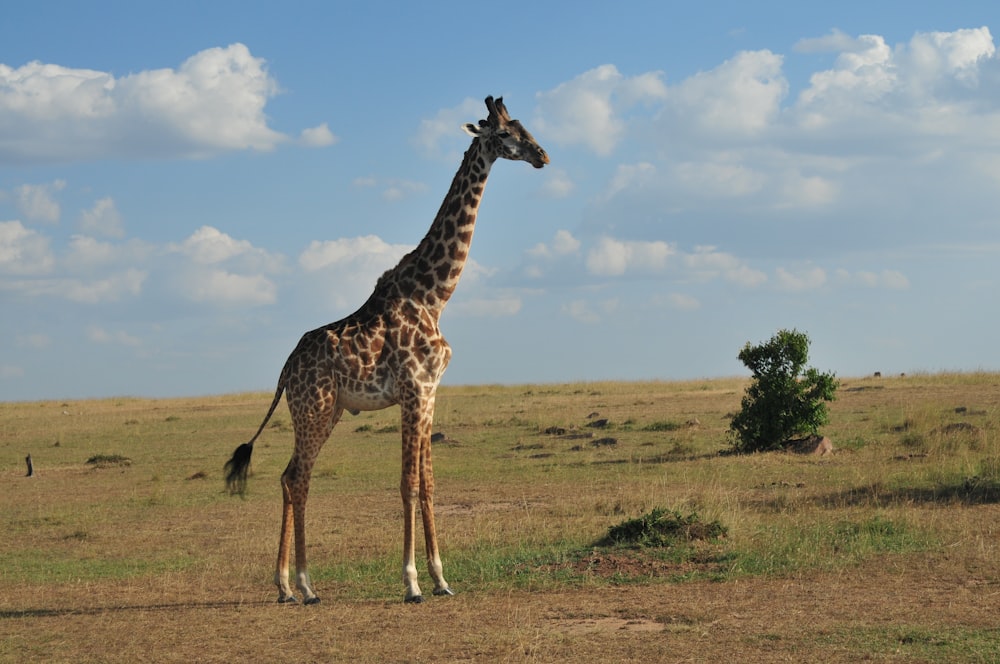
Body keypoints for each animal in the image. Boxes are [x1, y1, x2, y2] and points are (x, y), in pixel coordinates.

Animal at [227, 96, 552, 604]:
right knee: (298, 478)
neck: (434, 295)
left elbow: (430, 484)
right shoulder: (414, 390)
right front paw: (412, 582)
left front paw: (441, 579)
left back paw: (285, 586)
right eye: (504, 134)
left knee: (286, 475)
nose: (543, 155)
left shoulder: (431, 393)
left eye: (524, 127)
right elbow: (407, 484)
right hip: (313, 409)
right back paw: (305, 585)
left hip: (328, 411)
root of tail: (283, 371)